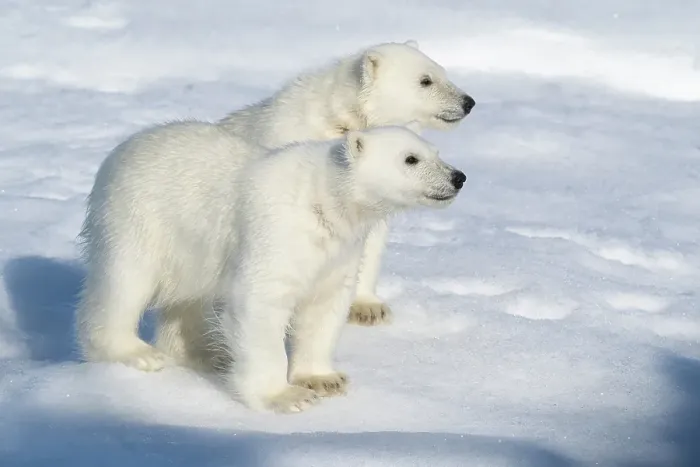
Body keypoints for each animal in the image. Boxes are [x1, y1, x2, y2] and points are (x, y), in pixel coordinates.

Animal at [75, 41, 474, 372]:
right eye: (426, 80)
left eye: (442, 70)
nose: (468, 102)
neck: (338, 121)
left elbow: (368, 242)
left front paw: (368, 307)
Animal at [219, 124, 466, 413]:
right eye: (411, 158)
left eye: (436, 152)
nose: (458, 177)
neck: (321, 197)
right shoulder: (277, 233)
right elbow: (262, 299)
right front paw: (286, 396)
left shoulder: (339, 250)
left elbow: (325, 303)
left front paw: (323, 380)